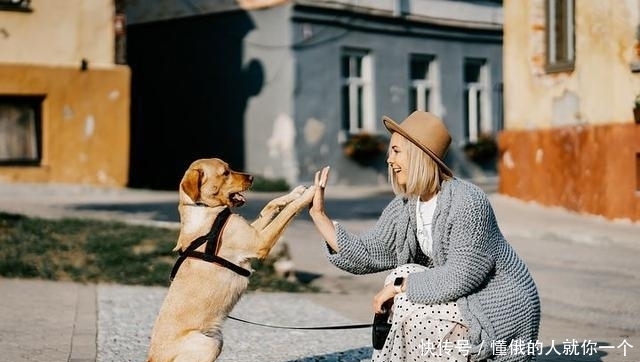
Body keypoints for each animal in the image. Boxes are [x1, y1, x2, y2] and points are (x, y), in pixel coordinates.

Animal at [146, 158, 316, 362]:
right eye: (225, 172)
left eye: (230, 167)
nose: (252, 177)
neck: (203, 209)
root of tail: (153, 358)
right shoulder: (259, 241)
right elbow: (288, 212)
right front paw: (310, 194)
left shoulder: (253, 232)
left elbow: (270, 205)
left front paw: (296, 192)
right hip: (210, 343)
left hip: (216, 339)